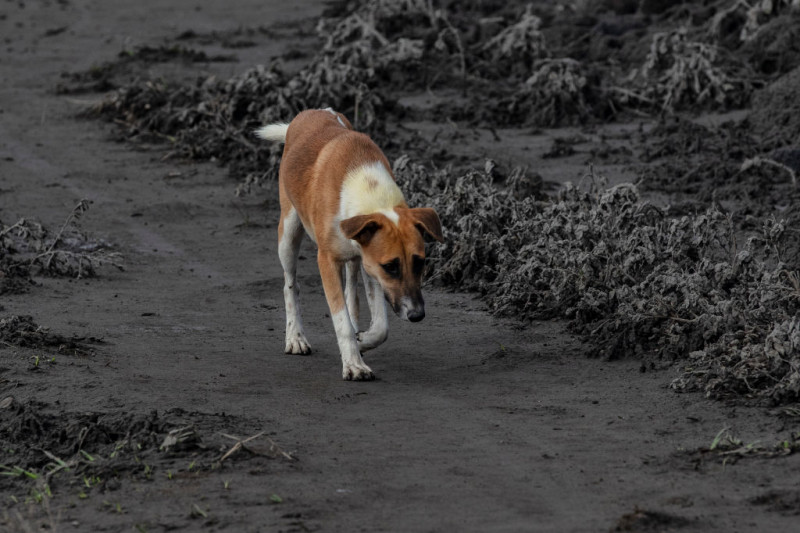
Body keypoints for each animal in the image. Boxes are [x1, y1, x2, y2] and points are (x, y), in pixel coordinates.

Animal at [256, 108, 444, 380]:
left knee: (351, 294)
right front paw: (354, 364)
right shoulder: (329, 261)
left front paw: (361, 340)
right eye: (391, 267)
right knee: (290, 285)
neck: (371, 197)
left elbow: (381, 326)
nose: (417, 315)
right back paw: (295, 337)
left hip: (354, 261)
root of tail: (310, 112)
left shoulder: (370, 264)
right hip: (288, 233)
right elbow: (340, 320)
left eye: (420, 262)